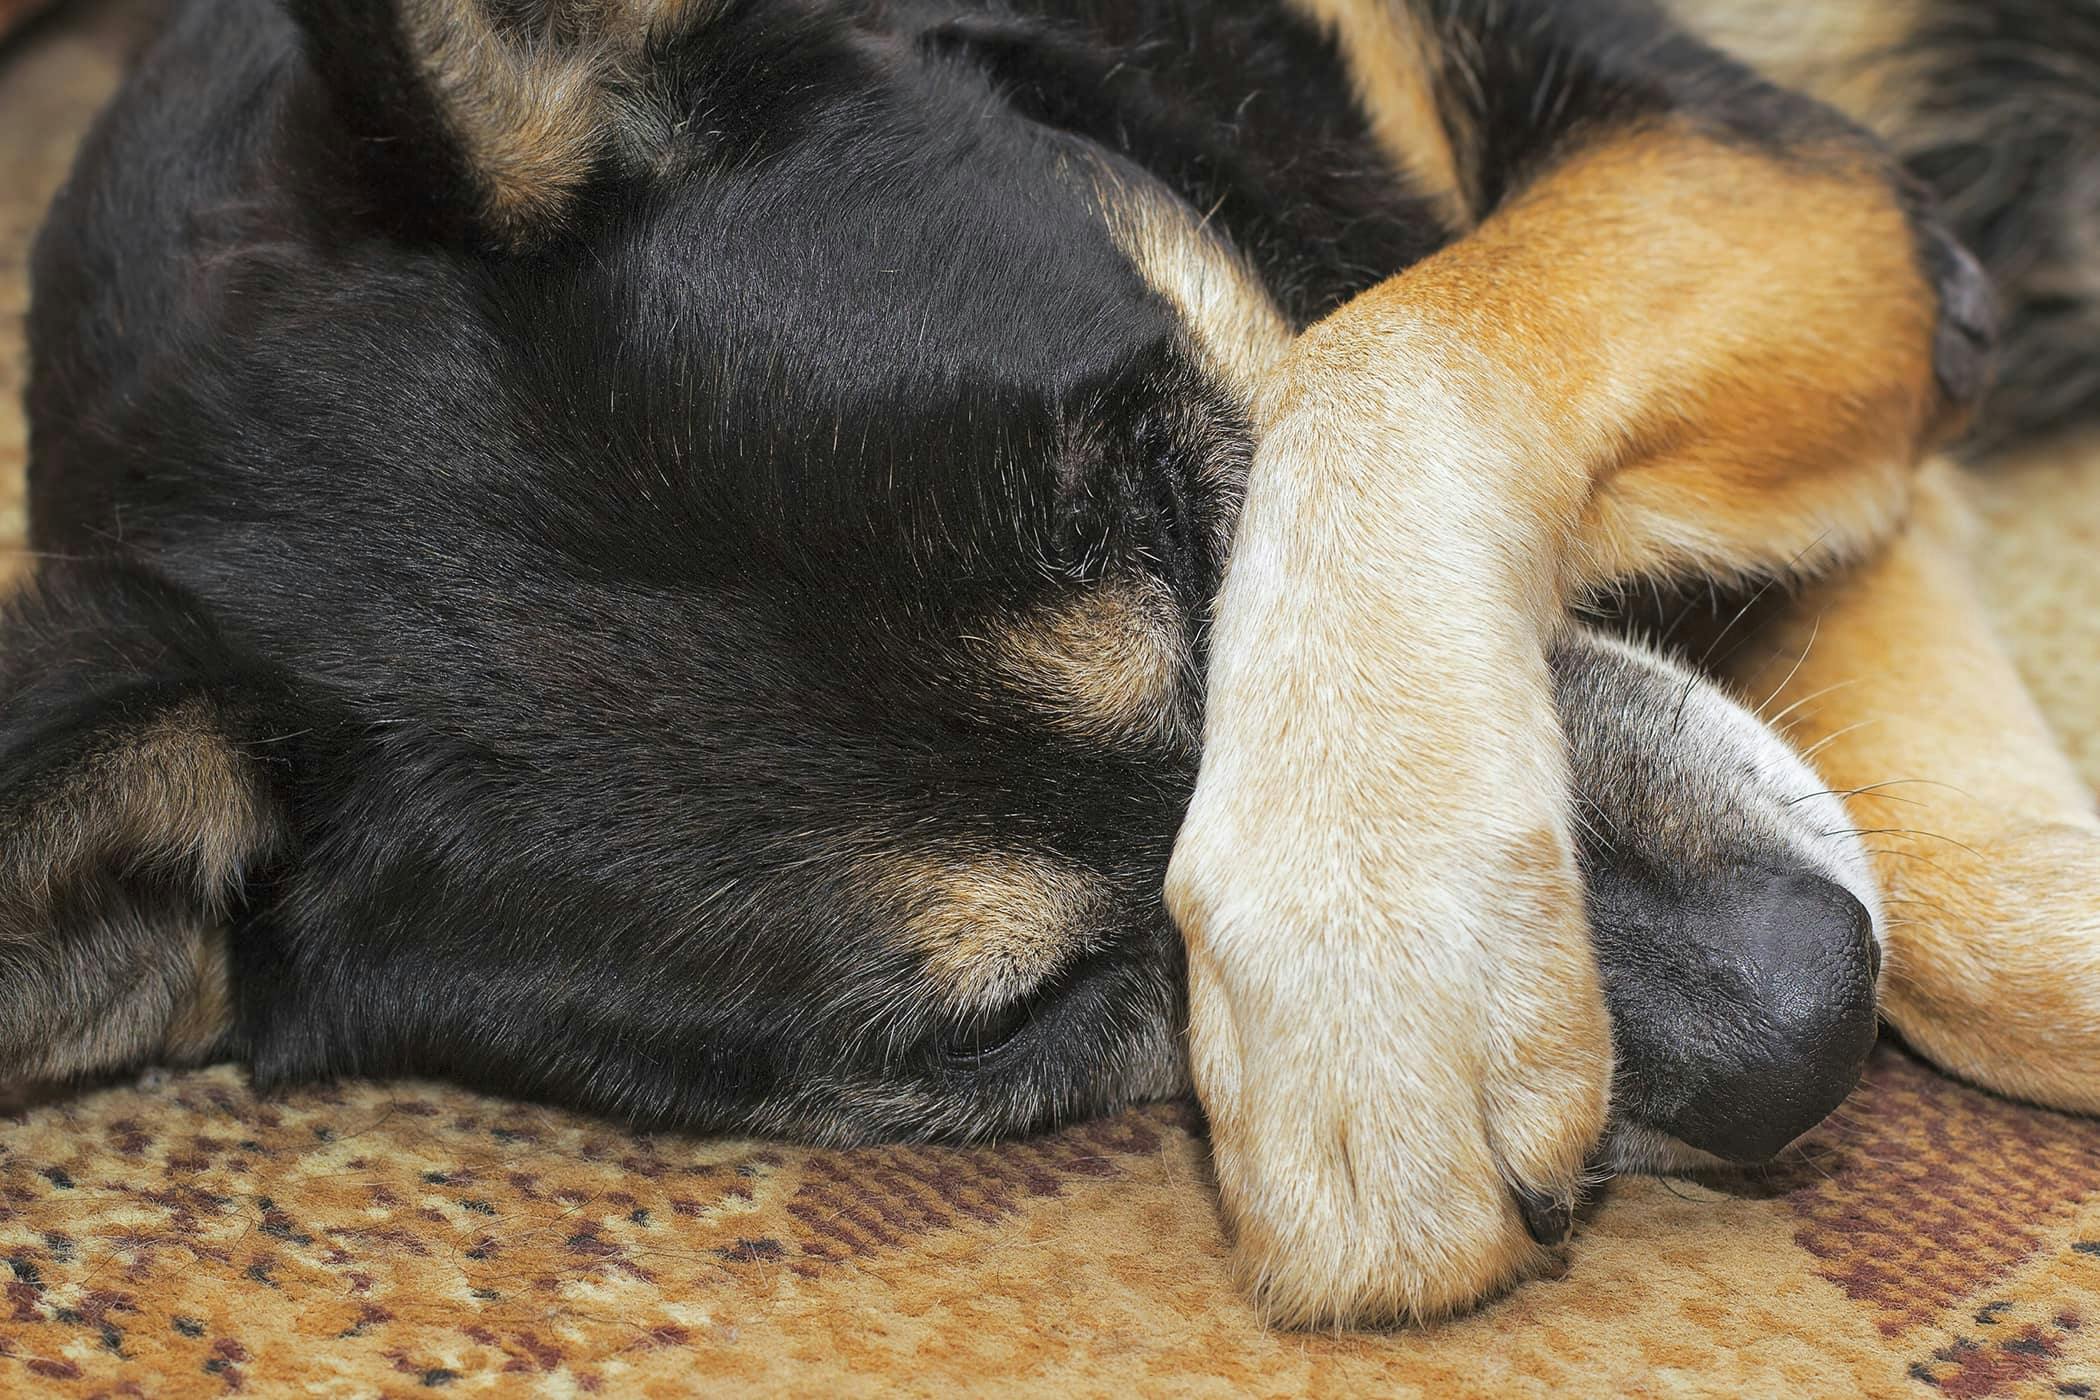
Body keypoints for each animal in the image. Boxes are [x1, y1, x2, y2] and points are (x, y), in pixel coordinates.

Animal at [12, 0, 2100, 1334]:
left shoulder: (1812, 199)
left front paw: (1374, 937)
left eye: (1179, 507)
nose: (1810, 1024)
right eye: (1012, 1023)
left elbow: (1398, 338)